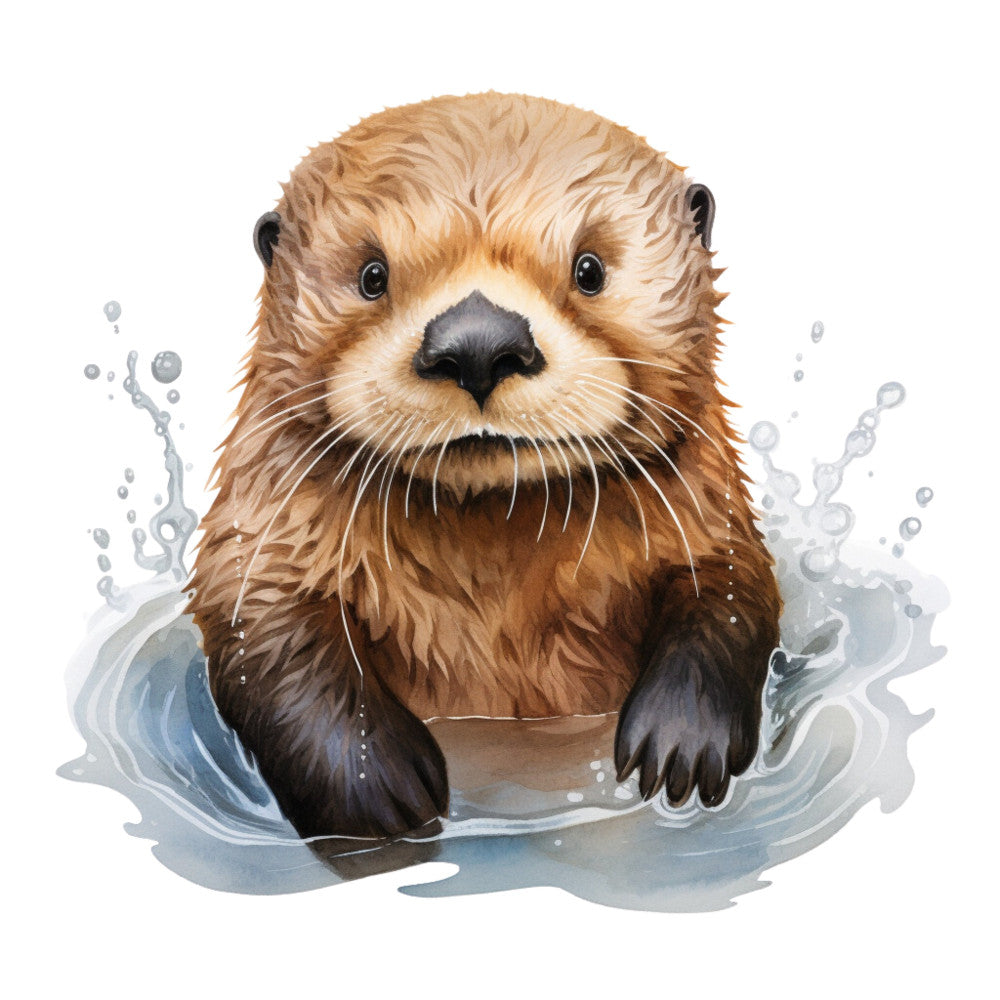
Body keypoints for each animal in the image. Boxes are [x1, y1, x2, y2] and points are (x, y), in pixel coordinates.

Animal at [190, 93, 781, 842]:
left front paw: (679, 741)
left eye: (590, 270)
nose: (477, 345)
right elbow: (262, 628)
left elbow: (732, 592)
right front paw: (376, 785)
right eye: (372, 276)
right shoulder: (264, 531)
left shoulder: (708, 508)